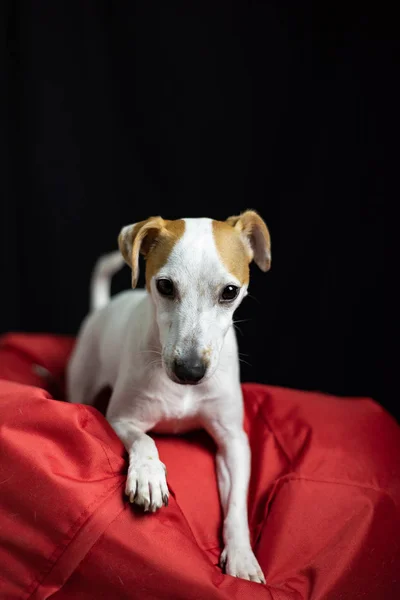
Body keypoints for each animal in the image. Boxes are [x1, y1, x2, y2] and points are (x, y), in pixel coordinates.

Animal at [67, 210, 272, 580]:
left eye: (230, 292)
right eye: (164, 286)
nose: (190, 371)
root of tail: (103, 308)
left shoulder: (234, 440)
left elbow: (237, 503)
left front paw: (241, 556)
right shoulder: (121, 419)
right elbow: (145, 440)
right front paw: (149, 475)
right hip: (83, 382)